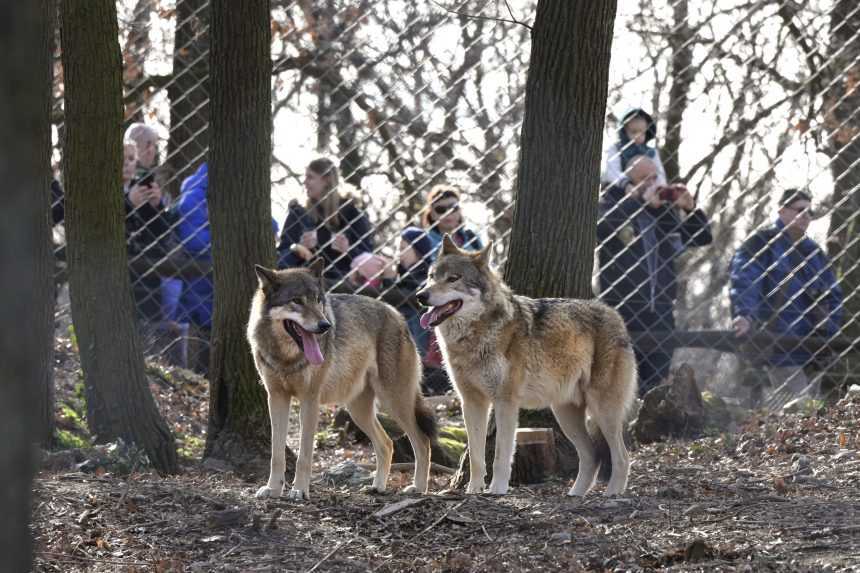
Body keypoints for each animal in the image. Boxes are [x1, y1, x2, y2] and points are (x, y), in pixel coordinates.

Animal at [249, 256, 436, 498]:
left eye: (318, 300)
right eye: (297, 301)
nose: (325, 326)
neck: (287, 358)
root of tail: (396, 313)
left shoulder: (310, 400)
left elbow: (304, 456)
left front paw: (299, 491)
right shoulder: (276, 398)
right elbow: (276, 454)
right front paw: (273, 489)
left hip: (394, 402)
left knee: (422, 441)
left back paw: (418, 488)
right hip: (358, 411)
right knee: (387, 444)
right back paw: (377, 486)